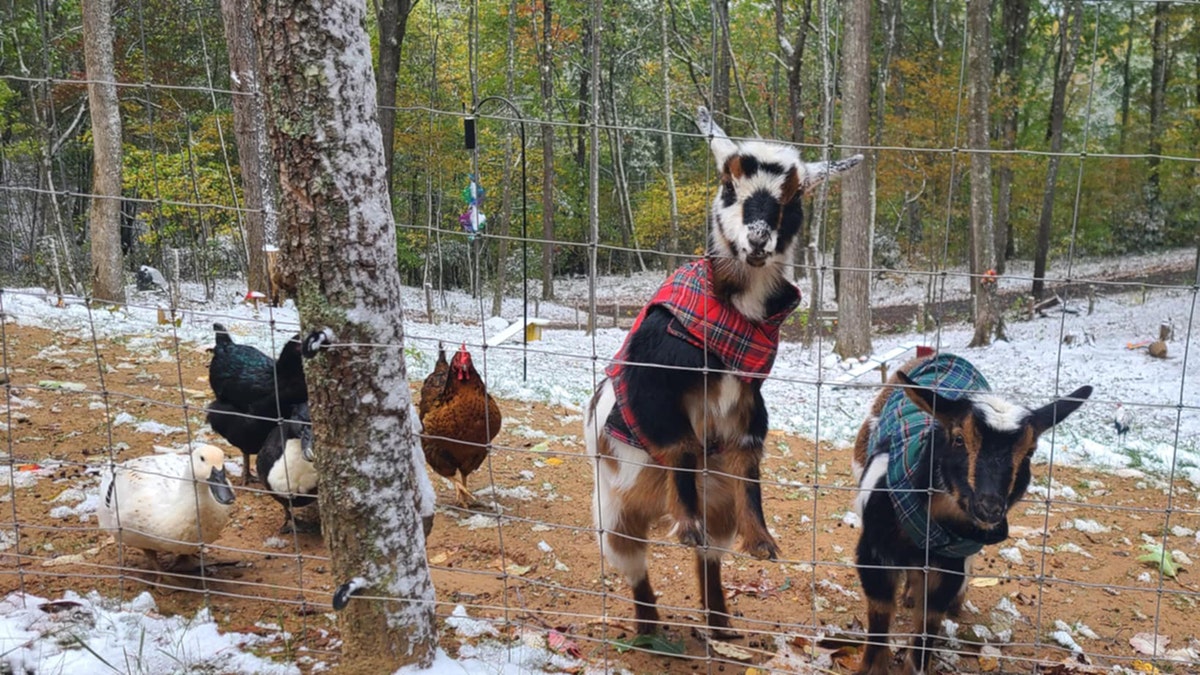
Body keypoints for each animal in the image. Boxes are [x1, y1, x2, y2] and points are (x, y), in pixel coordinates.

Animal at [583, 106, 859, 634]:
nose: (758, 238)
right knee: (634, 563)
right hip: (614, 511)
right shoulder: (653, 380)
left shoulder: (750, 398)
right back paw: (649, 627)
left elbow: (748, 462)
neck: (734, 313)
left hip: (718, 504)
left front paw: (763, 542)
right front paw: (687, 525)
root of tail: (653, 507)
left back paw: (719, 624)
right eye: (728, 186)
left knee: (709, 558)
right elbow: (681, 445)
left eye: (794, 198)